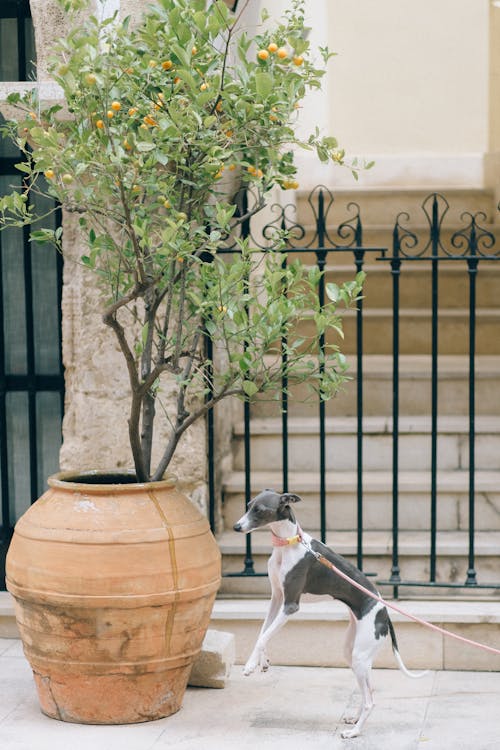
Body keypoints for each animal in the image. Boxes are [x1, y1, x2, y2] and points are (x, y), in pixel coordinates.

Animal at [232, 488, 424, 740]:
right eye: (247, 505)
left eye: (260, 510)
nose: (236, 527)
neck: (288, 544)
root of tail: (384, 612)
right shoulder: (276, 599)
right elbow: (263, 632)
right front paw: (261, 662)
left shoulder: (290, 605)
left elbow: (264, 636)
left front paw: (249, 666)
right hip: (353, 653)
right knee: (368, 690)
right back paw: (354, 719)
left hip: (360, 655)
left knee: (370, 700)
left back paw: (354, 732)